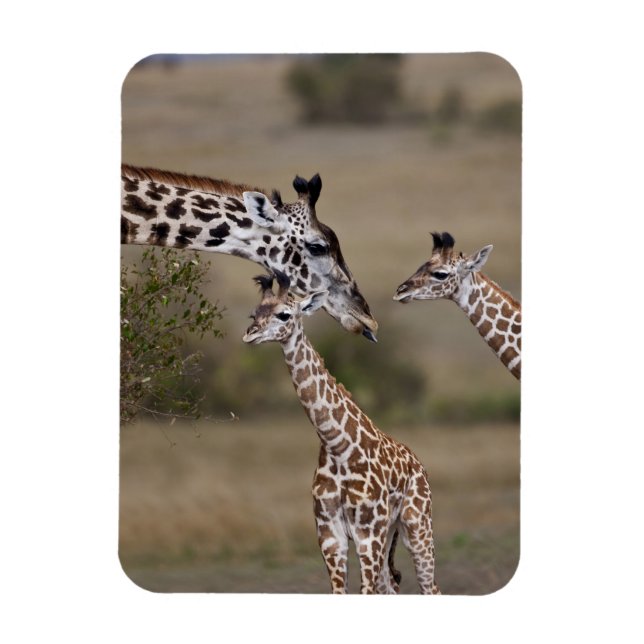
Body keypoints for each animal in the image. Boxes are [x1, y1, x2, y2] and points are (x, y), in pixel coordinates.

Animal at [243, 271, 440, 595]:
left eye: (284, 314)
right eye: (254, 313)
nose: (250, 334)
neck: (337, 446)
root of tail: (418, 463)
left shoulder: (367, 534)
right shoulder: (329, 534)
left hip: (416, 525)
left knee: (430, 587)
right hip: (390, 534)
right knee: (392, 585)